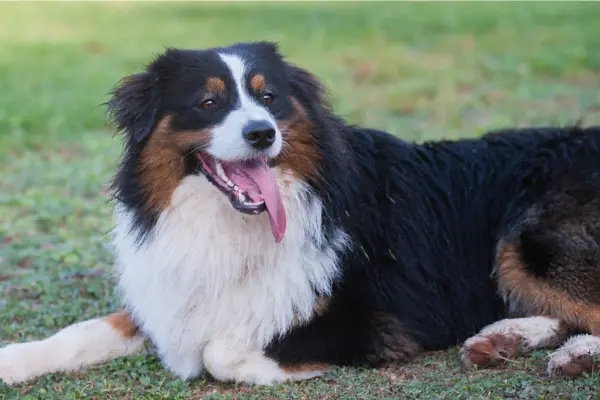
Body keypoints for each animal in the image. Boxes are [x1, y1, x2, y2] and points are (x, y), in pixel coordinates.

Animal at [1, 41, 600, 388]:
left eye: (269, 98)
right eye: (209, 103)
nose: (262, 133)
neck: (225, 223)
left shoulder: (374, 320)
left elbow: (219, 350)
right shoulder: (169, 297)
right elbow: (85, 330)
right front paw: (14, 360)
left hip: (530, 239)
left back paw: (574, 356)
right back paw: (503, 339)